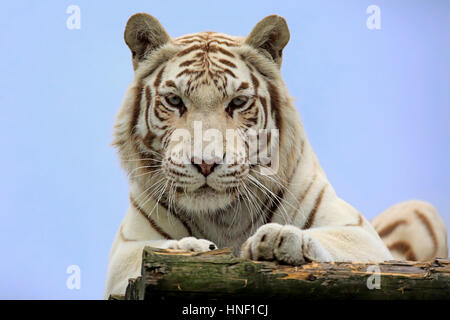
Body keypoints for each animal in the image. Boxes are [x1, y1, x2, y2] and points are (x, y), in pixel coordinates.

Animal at [104, 12, 446, 298]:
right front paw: (190, 246)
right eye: (175, 101)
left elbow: (340, 247)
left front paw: (283, 239)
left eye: (238, 102)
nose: (205, 164)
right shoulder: (125, 252)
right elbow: (151, 250)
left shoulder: (361, 234)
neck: (221, 217)